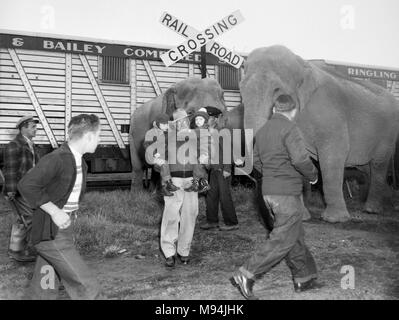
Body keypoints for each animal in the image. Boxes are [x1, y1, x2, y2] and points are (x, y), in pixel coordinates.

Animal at [241, 45, 399, 222]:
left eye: (277, 90)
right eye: (240, 89)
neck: (302, 64)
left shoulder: (329, 113)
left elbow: (334, 153)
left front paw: (334, 219)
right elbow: (298, 157)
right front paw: (302, 217)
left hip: (388, 133)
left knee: (378, 164)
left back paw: (372, 209)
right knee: (366, 167)